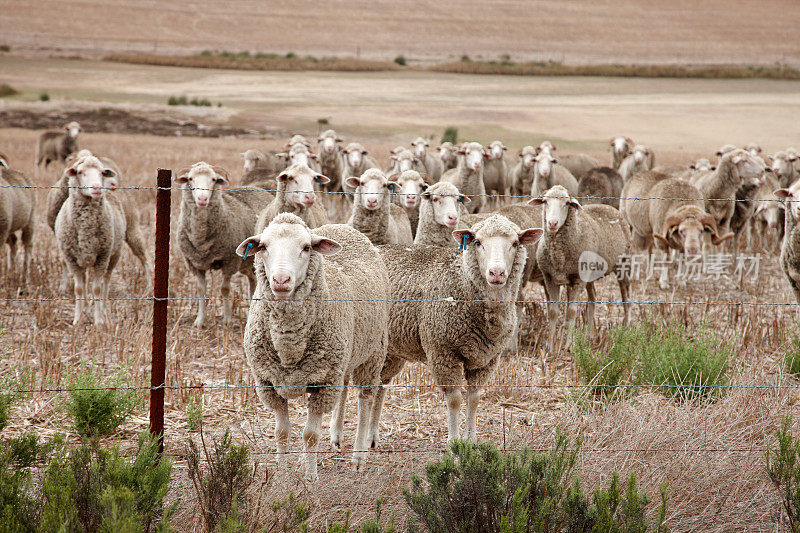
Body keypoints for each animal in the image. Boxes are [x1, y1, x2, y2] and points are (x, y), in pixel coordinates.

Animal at [54, 154, 126, 324]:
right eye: (80, 172)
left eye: (101, 172)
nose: (97, 188)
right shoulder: (72, 259)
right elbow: (79, 289)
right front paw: (77, 320)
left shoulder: (102, 257)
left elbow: (97, 288)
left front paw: (98, 321)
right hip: (85, 259)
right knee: (87, 282)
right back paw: (87, 308)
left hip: (114, 255)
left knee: (105, 283)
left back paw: (104, 310)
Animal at [177, 160, 274, 326]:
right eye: (190, 179)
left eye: (214, 179)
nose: (202, 199)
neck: (201, 239)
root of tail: (260, 188)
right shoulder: (195, 264)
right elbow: (201, 290)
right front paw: (199, 321)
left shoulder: (229, 262)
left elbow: (225, 289)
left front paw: (227, 319)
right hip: (247, 263)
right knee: (252, 280)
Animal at [236, 212, 390, 478]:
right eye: (263, 247)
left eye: (306, 248)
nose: (281, 280)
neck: (288, 342)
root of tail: (343, 227)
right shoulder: (268, 382)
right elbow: (281, 432)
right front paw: (282, 474)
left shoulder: (323, 384)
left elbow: (310, 435)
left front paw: (310, 476)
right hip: (344, 357)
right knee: (345, 387)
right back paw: (336, 436)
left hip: (373, 353)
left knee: (365, 400)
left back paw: (358, 457)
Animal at [376, 214, 544, 442]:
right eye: (478, 242)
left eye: (515, 243)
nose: (497, 273)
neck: (461, 280)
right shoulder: (443, 353)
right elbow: (455, 399)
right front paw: (454, 443)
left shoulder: (487, 359)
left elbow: (474, 399)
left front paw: (471, 440)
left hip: (391, 351)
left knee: (377, 387)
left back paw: (371, 437)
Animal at [532, 187, 632, 344]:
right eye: (545, 201)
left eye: (567, 203)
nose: (552, 223)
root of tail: (610, 207)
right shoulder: (550, 279)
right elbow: (553, 313)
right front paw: (551, 345)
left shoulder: (577, 280)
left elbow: (571, 313)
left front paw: (567, 345)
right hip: (589, 273)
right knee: (592, 298)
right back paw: (589, 336)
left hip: (623, 264)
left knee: (626, 297)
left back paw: (626, 327)